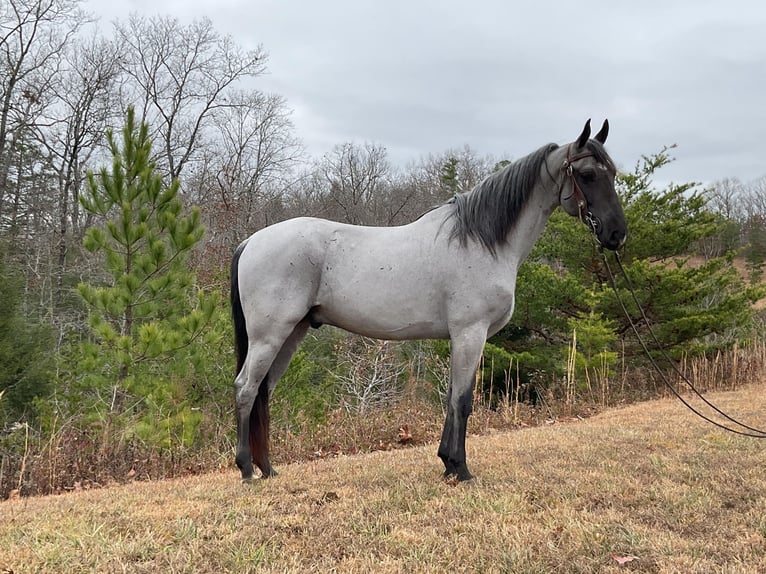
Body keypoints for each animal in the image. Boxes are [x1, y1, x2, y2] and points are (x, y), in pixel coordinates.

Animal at [231, 121, 628, 486]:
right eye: (588, 174)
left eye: (613, 173)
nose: (616, 234)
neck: (482, 241)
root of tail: (251, 241)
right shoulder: (470, 333)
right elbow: (463, 401)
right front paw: (461, 470)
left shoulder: (461, 338)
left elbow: (452, 397)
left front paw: (448, 464)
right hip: (270, 336)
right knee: (246, 389)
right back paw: (247, 469)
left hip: (292, 334)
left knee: (264, 392)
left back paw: (268, 469)